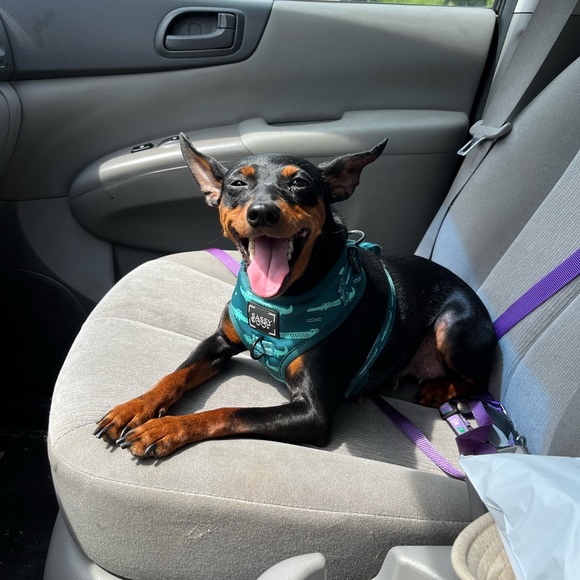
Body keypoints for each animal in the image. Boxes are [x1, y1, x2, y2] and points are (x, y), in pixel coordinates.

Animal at [94, 135, 497, 458]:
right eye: (236, 183)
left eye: (300, 183)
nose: (262, 213)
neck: (280, 300)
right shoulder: (220, 340)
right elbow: (175, 374)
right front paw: (136, 407)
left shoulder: (312, 413)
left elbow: (228, 412)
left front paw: (165, 428)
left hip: (453, 325)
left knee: (478, 381)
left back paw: (439, 389)